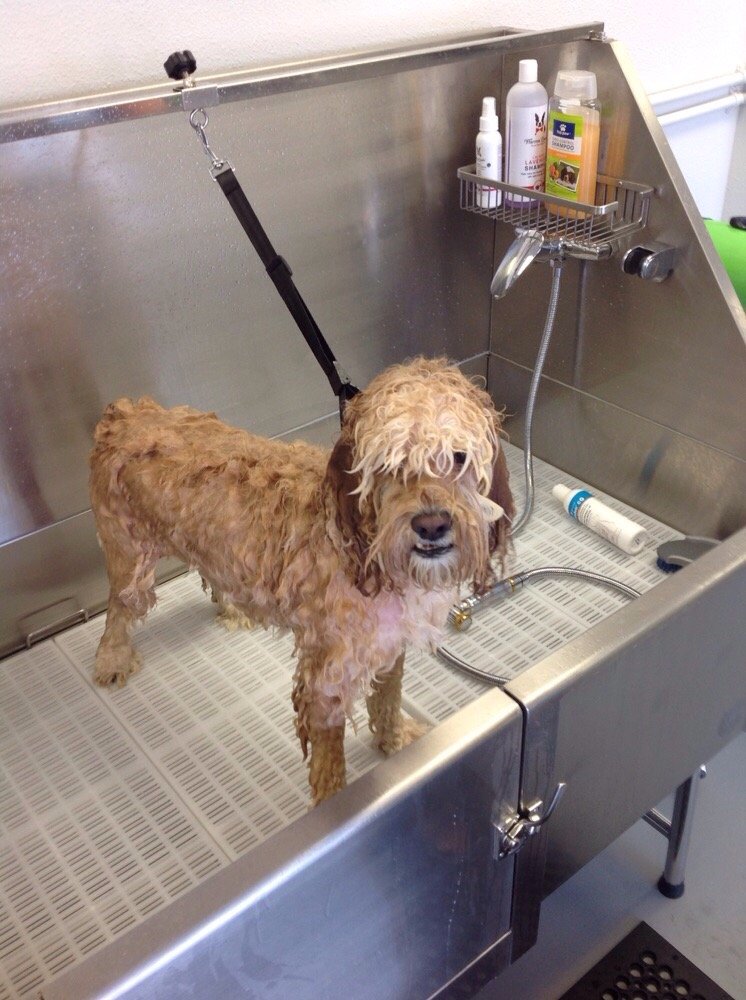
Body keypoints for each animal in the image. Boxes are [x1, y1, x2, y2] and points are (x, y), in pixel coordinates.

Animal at [89, 357, 514, 803]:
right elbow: (329, 765)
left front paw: (394, 741)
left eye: (459, 457)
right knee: (119, 608)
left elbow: (387, 698)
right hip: (130, 557)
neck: (362, 547)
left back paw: (232, 607)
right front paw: (337, 809)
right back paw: (112, 658)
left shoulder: (389, 641)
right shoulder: (324, 681)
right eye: (387, 464)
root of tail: (126, 413)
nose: (432, 525)